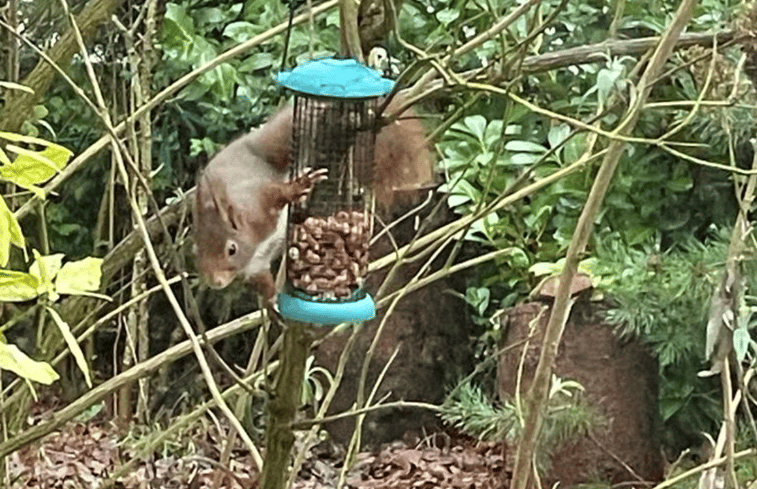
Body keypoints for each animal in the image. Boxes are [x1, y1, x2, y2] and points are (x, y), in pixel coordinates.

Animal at [192, 94, 434, 302]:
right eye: (196, 252)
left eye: (231, 249)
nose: (215, 282)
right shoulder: (255, 264)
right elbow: (263, 282)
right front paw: (272, 304)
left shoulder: (258, 201)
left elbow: (277, 194)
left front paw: (299, 186)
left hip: (280, 144)